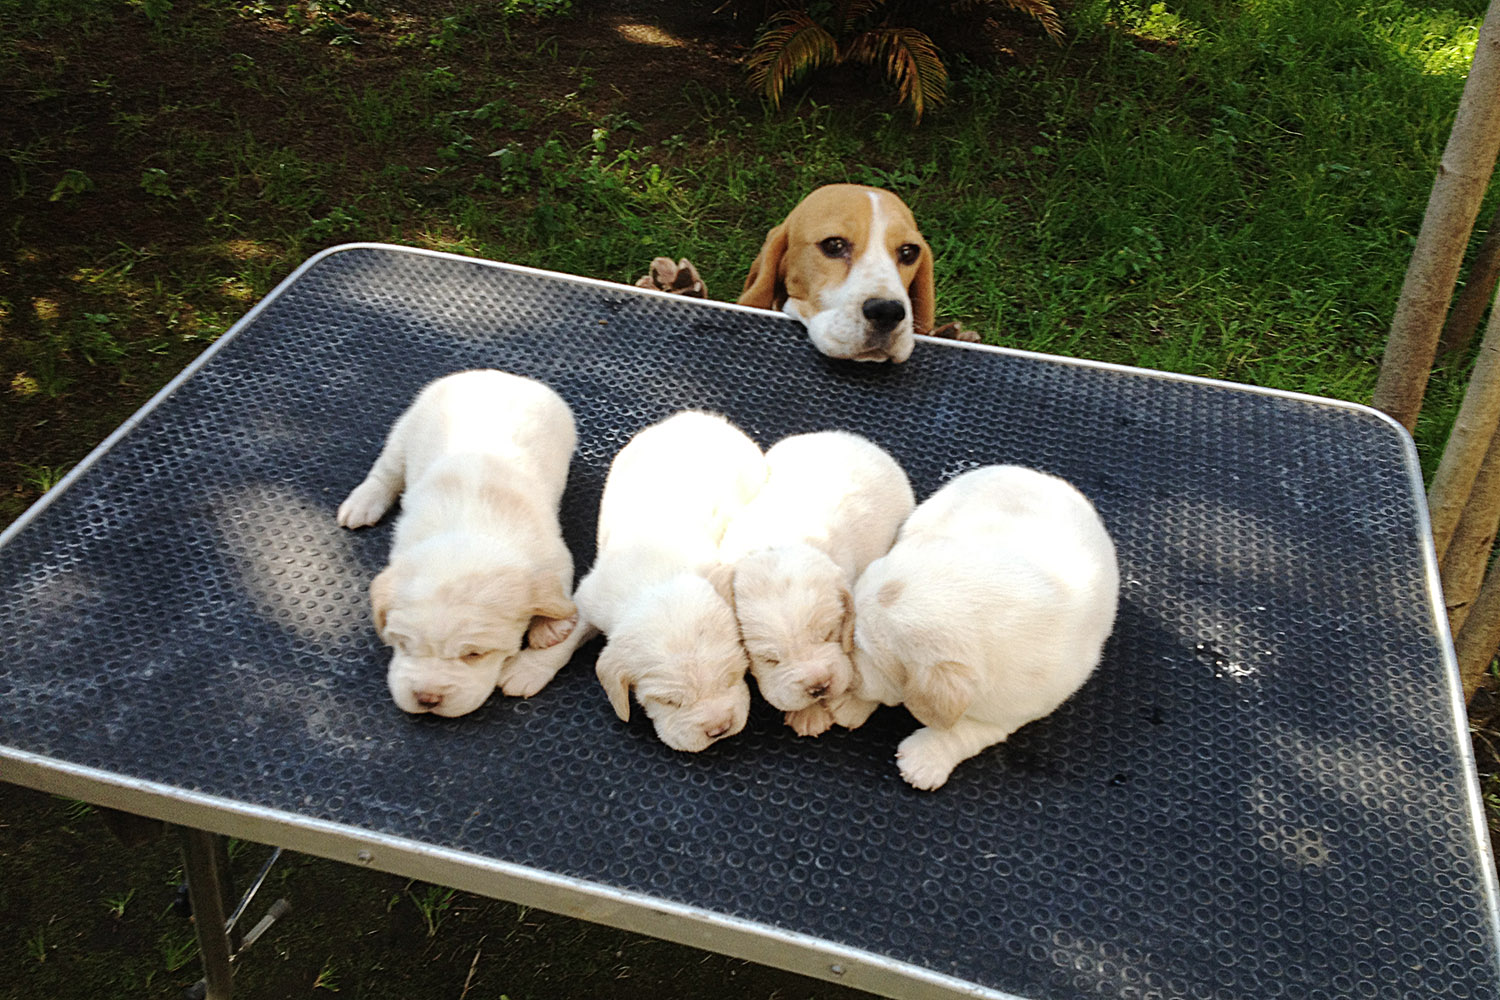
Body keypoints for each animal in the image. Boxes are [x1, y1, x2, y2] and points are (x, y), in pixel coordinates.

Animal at [340, 371, 579, 716]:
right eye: (403, 645)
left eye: (474, 654)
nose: (427, 699)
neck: (468, 527)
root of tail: (494, 375)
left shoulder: (553, 554)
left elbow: (554, 587)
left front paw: (550, 628)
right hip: (404, 433)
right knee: (386, 472)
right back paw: (362, 502)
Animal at [567, 407, 768, 749]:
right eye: (670, 702)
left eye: (733, 677)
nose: (719, 729)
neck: (655, 581)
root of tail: (703, 416)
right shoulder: (593, 596)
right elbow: (568, 632)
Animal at [717, 434, 912, 740]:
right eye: (769, 659)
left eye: (829, 634)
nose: (819, 687)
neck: (781, 543)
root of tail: (847, 437)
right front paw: (810, 714)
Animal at [840, 467, 1122, 791]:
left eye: (861, 645)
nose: (842, 676)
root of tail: (1035, 474)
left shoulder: (1015, 707)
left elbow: (965, 730)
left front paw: (925, 758)